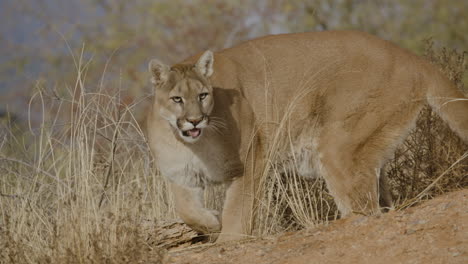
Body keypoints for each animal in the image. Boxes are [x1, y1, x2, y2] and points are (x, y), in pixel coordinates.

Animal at [146, 29, 468, 242]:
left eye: (203, 95)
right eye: (177, 99)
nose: (194, 120)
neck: (192, 144)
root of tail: (410, 56)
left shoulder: (251, 161)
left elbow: (238, 208)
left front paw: (230, 239)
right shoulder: (179, 174)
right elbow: (186, 210)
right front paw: (211, 223)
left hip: (338, 146)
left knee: (364, 209)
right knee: (379, 201)